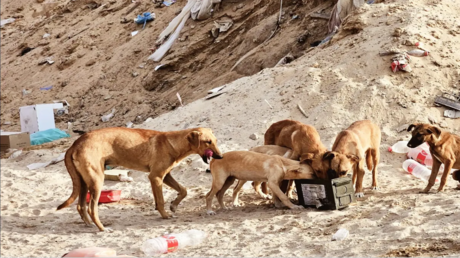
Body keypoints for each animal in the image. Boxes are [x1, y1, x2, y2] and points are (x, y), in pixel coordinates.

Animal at [57, 127, 223, 232]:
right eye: (208, 142)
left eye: (215, 140)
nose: (220, 157)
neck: (172, 143)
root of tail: (75, 143)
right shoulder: (156, 176)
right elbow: (161, 200)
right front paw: (166, 215)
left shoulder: (165, 176)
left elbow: (183, 190)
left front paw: (174, 205)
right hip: (97, 181)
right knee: (92, 208)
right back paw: (102, 228)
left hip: (83, 182)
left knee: (80, 206)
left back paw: (89, 224)